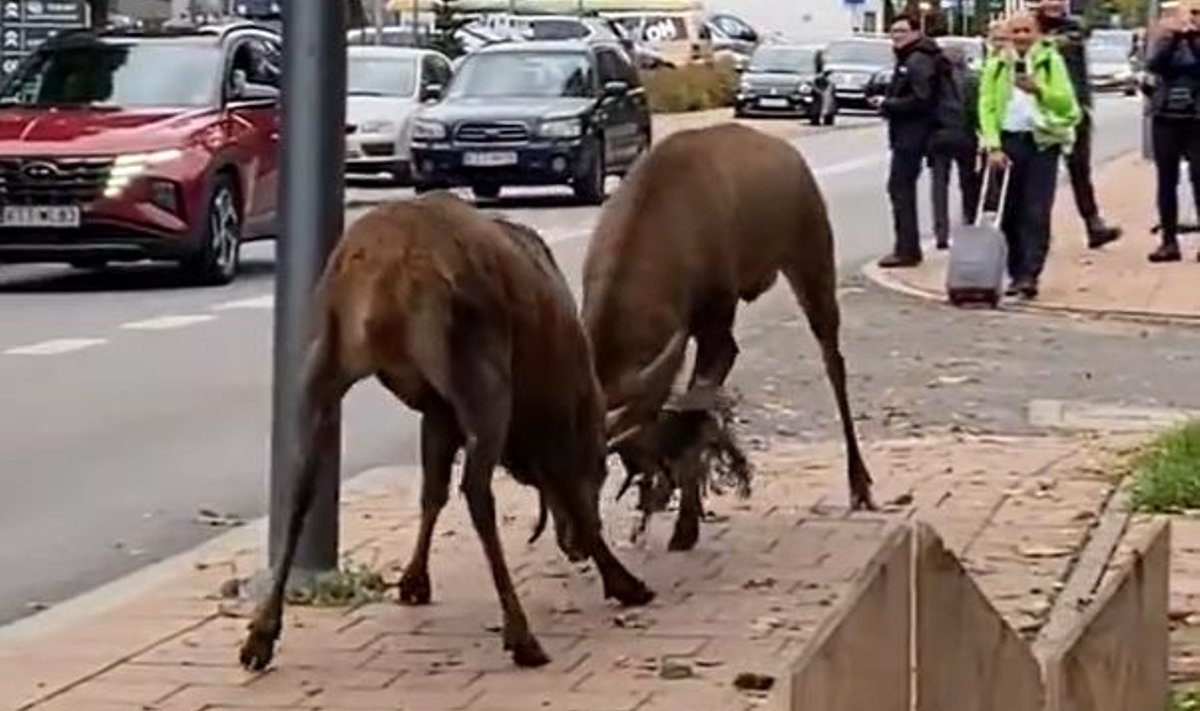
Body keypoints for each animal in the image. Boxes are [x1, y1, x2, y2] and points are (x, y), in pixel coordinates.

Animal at [240, 194, 657, 672]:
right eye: (601, 470)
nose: (572, 548)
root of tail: (385, 275)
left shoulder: (437, 409)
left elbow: (431, 491)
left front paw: (412, 581)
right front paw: (625, 581)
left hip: (322, 358)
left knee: (300, 484)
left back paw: (260, 635)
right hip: (478, 368)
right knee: (477, 491)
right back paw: (522, 635)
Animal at [585, 124, 878, 552]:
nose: (653, 489)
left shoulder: (718, 322)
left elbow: (701, 415)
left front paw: (686, 525)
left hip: (812, 254)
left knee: (833, 361)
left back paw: (860, 484)